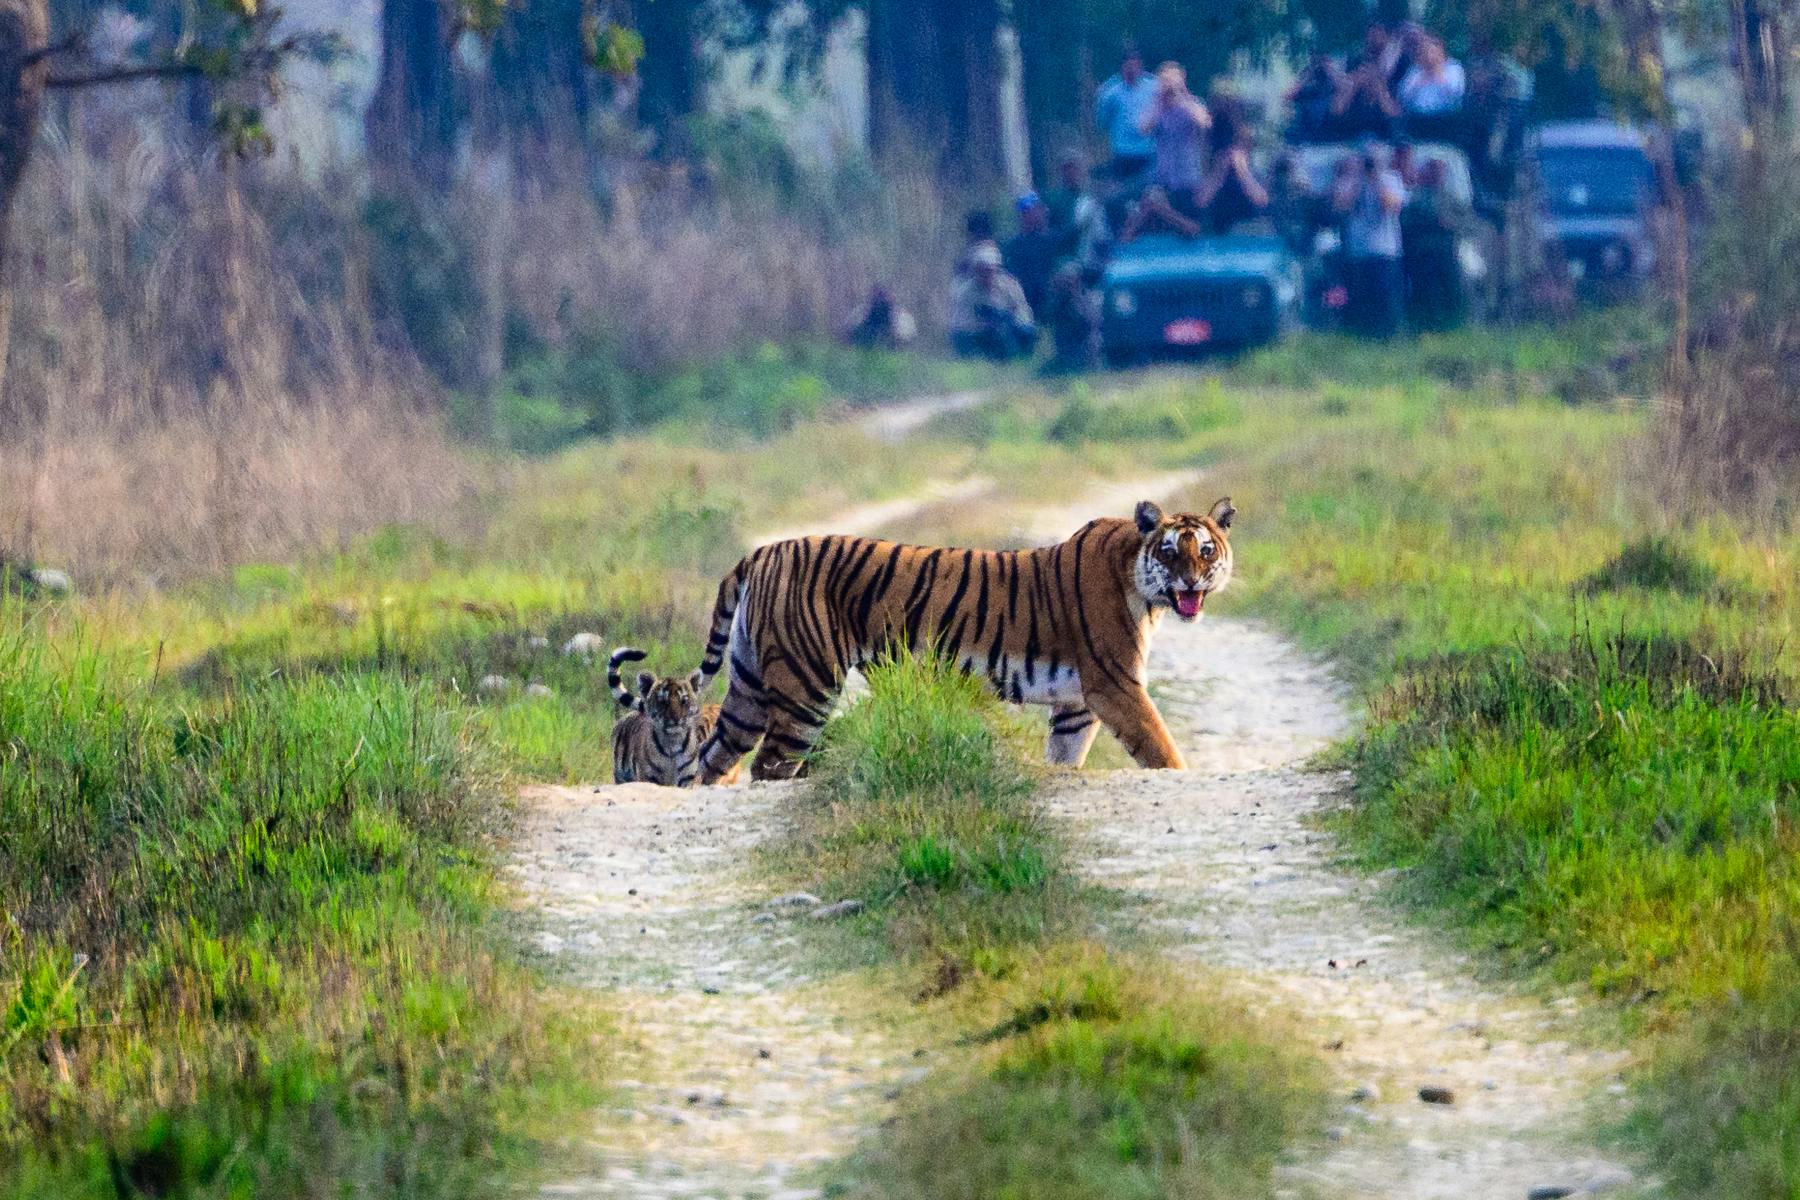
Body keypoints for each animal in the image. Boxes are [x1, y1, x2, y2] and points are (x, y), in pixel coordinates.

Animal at [607, 647, 741, 787]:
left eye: (684, 700)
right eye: (662, 701)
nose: (675, 718)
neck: (673, 744)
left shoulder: (687, 779)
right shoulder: (649, 777)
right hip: (621, 775)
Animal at [691, 496, 1236, 783]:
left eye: (1206, 550)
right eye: (1169, 552)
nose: (1191, 582)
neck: (1142, 588)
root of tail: (762, 552)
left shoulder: (1078, 704)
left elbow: (1066, 757)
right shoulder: (1115, 686)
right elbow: (1161, 748)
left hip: (748, 689)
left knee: (711, 756)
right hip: (807, 683)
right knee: (770, 763)